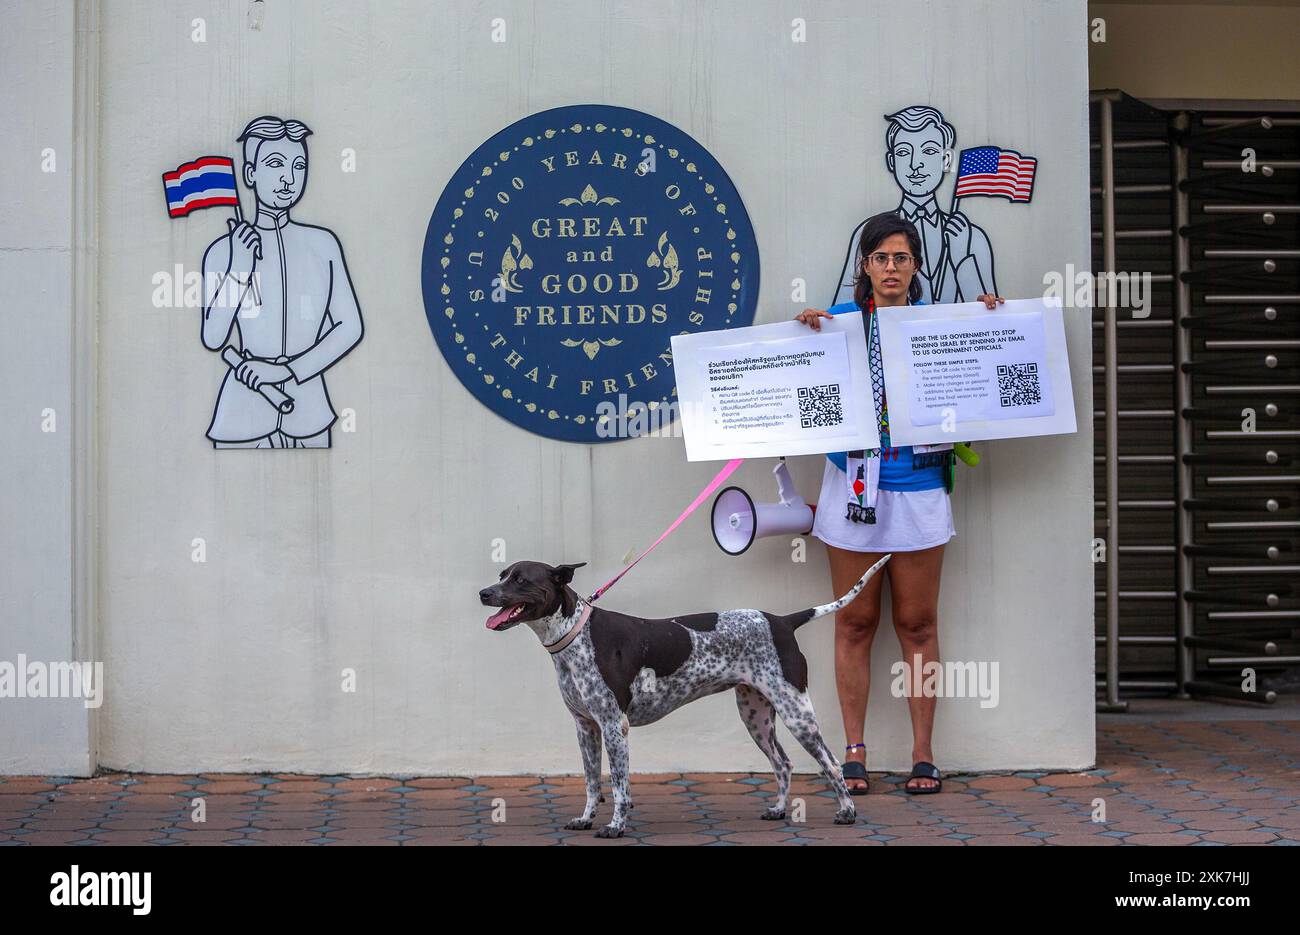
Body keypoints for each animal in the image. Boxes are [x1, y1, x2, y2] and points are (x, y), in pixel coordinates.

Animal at [480, 556, 894, 842]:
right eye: (502, 575)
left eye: (521, 579)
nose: (484, 593)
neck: (576, 636)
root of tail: (782, 621)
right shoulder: (585, 728)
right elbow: (592, 783)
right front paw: (585, 819)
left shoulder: (614, 727)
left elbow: (619, 787)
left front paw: (616, 826)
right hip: (756, 716)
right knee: (784, 763)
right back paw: (778, 809)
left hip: (797, 713)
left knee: (831, 762)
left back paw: (847, 811)